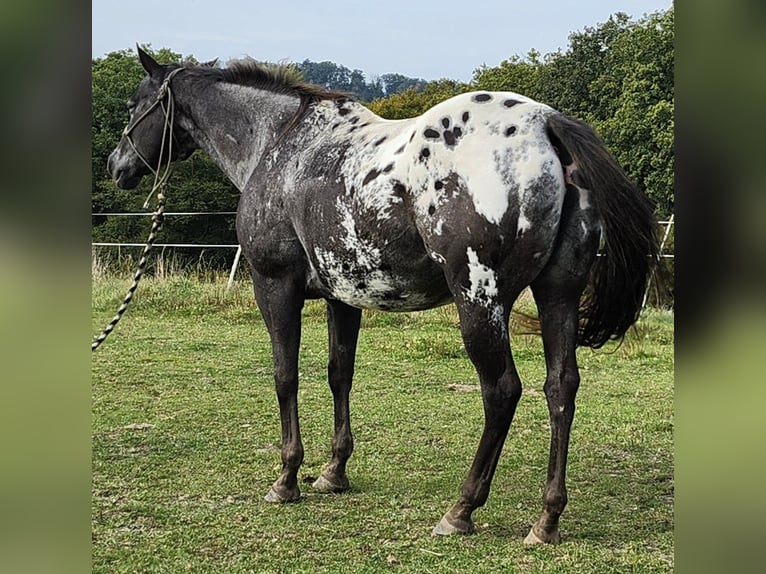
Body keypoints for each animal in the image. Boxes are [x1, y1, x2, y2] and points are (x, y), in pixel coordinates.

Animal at [108, 46, 660, 544]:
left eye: (135, 105)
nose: (117, 165)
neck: (280, 144)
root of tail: (546, 124)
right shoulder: (342, 297)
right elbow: (339, 375)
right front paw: (333, 472)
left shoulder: (275, 286)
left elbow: (286, 376)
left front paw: (287, 478)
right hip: (557, 296)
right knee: (560, 389)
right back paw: (546, 519)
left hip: (479, 302)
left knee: (502, 391)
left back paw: (461, 510)